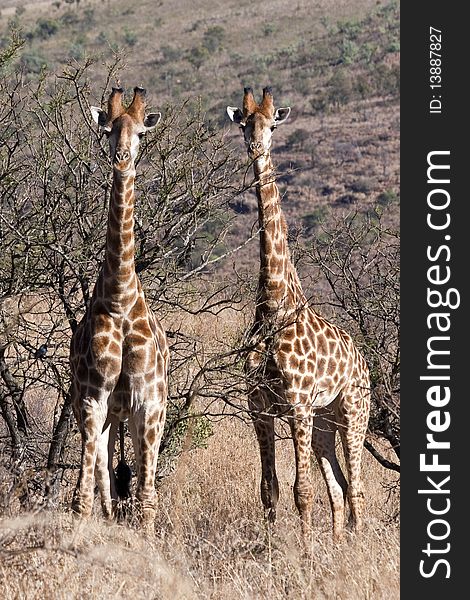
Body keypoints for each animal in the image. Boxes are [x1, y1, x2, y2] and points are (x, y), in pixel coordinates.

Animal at [228, 88, 370, 540]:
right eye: (244, 123)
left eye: (273, 123)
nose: (256, 146)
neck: (274, 301)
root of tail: (364, 363)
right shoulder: (259, 406)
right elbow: (269, 489)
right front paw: (273, 552)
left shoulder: (296, 404)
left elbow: (301, 492)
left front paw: (305, 554)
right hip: (324, 422)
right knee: (339, 487)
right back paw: (341, 545)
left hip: (352, 413)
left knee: (356, 487)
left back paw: (353, 548)